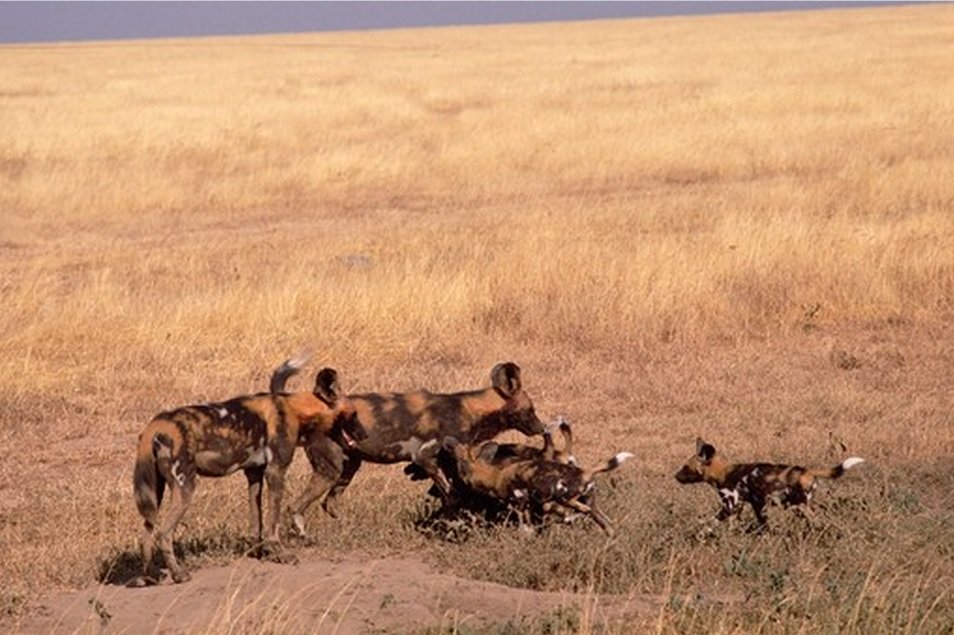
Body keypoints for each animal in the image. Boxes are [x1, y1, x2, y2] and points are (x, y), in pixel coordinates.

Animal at [132, 358, 356, 588]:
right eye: (353, 414)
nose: (362, 433)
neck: (294, 408)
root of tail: (155, 426)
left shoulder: (254, 474)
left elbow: (256, 520)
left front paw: (259, 552)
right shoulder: (276, 472)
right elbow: (273, 520)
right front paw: (279, 552)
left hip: (154, 492)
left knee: (147, 528)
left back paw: (149, 576)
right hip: (184, 487)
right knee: (163, 532)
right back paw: (178, 574)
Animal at [276, 362, 544, 536]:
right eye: (531, 409)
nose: (541, 427)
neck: (470, 410)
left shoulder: (444, 463)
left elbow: (452, 497)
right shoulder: (424, 457)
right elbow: (453, 496)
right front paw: (456, 525)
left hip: (349, 467)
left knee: (329, 504)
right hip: (330, 471)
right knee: (295, 507)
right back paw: (300, 533)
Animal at [438, 434, 632, 536]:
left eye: (459, 467)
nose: (455, 483)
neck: (495, 476)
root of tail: (584, 471)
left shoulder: (521, 502)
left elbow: (526, 525)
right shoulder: (533, 504)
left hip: (564, 496)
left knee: (580, 509)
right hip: (585, 502)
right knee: (605, 522)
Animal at [668, 438, 864, 528]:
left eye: (685, 467)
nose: (675, 476)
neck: (722, 472)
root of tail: (807, 471)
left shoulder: (729, 505)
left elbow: (710, 522)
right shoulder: (752, 505)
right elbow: (761, 525)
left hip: (801, 506)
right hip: (799, 506)